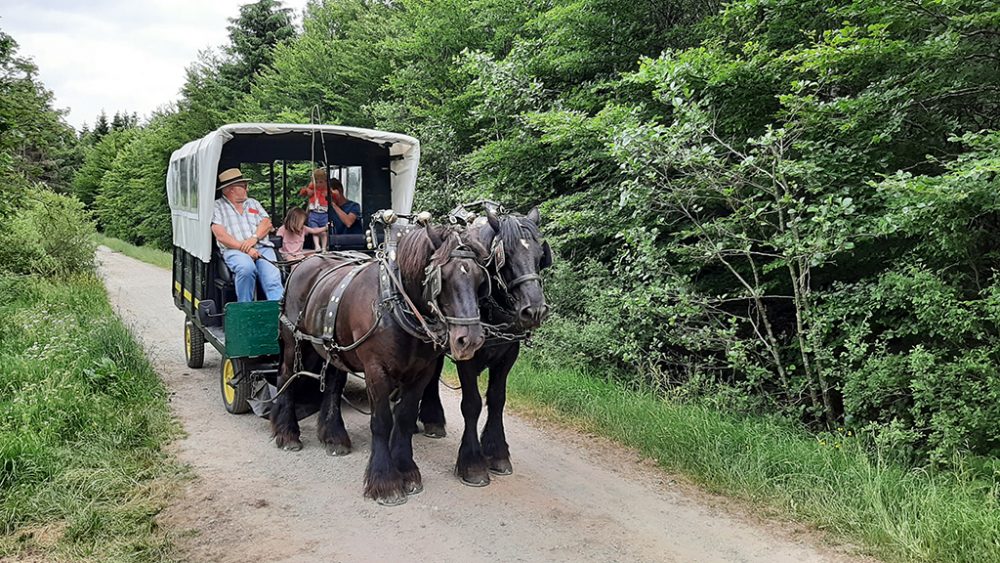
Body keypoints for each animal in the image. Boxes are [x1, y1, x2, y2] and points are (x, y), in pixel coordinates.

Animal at [272, 225, 490, 506]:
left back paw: (333, 437)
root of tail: (304, 262)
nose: (470, 340)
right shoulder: (376, 371)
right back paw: (287, 432)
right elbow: (382, 421)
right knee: (287, 377)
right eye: (443, 276)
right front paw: (385, 481)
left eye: (480, 280)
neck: (397, 306)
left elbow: (405, 418)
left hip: (333, 347)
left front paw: (407, 471)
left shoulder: (421, 373)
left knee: (332, 384)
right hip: (295, 342)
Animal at [416, 207, 556, 490]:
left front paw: (497, 452)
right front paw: (473, 463)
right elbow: (472, 403)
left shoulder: (508, 354)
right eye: (506, 256)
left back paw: (432, 419)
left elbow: (497, 399)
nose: (534, 310)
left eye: (540, 256)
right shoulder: (466, 354)